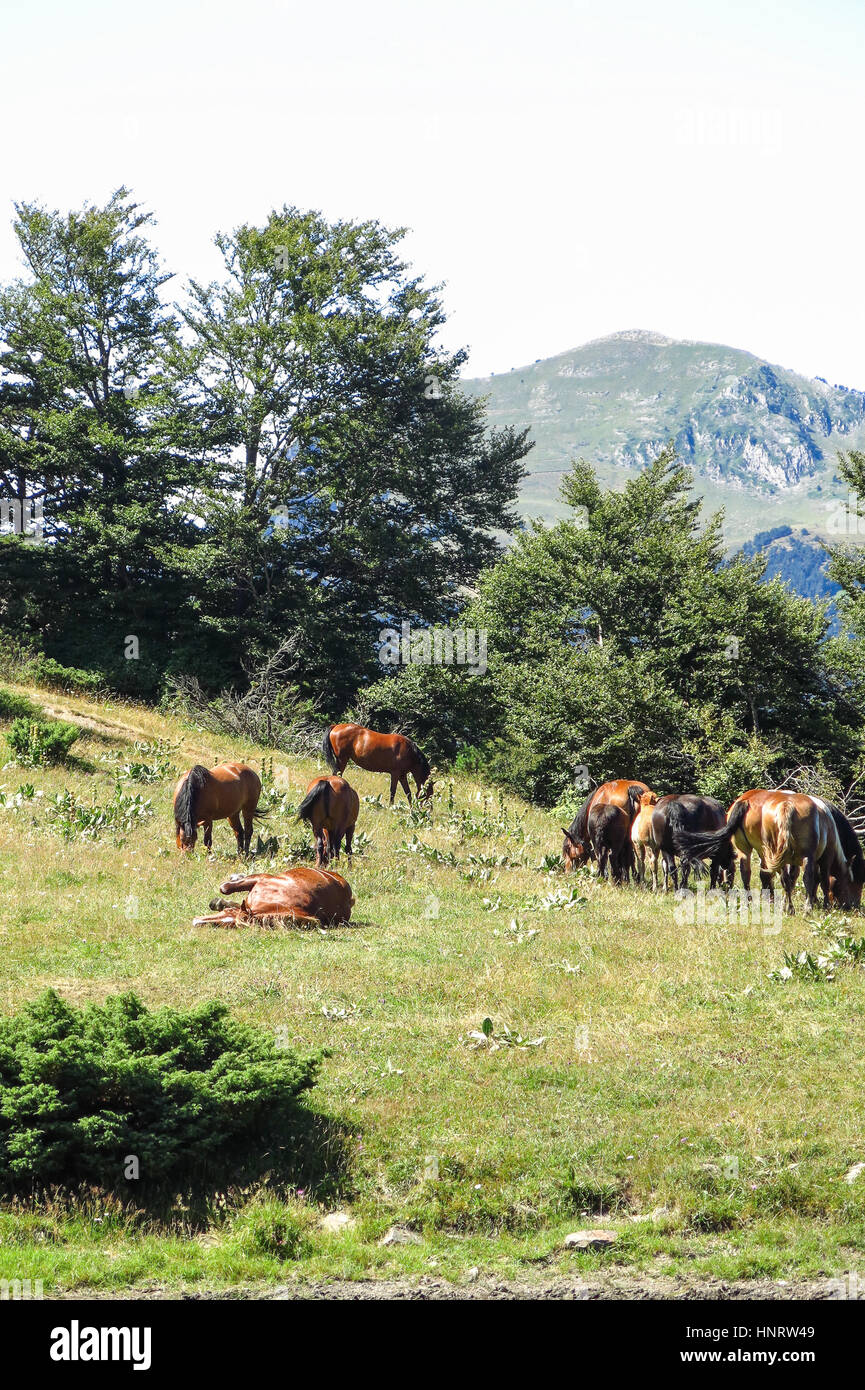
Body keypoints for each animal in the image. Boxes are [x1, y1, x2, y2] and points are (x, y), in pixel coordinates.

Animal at [678, 789, 856, 917]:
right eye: (850, 882)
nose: (850, 906)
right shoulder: (823, 858)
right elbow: (821, 881)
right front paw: (823, 905)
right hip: (794, 855)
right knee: (803, 878)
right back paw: (800, 908)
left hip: (751, 849)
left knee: (751, 874)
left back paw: (755, 902)